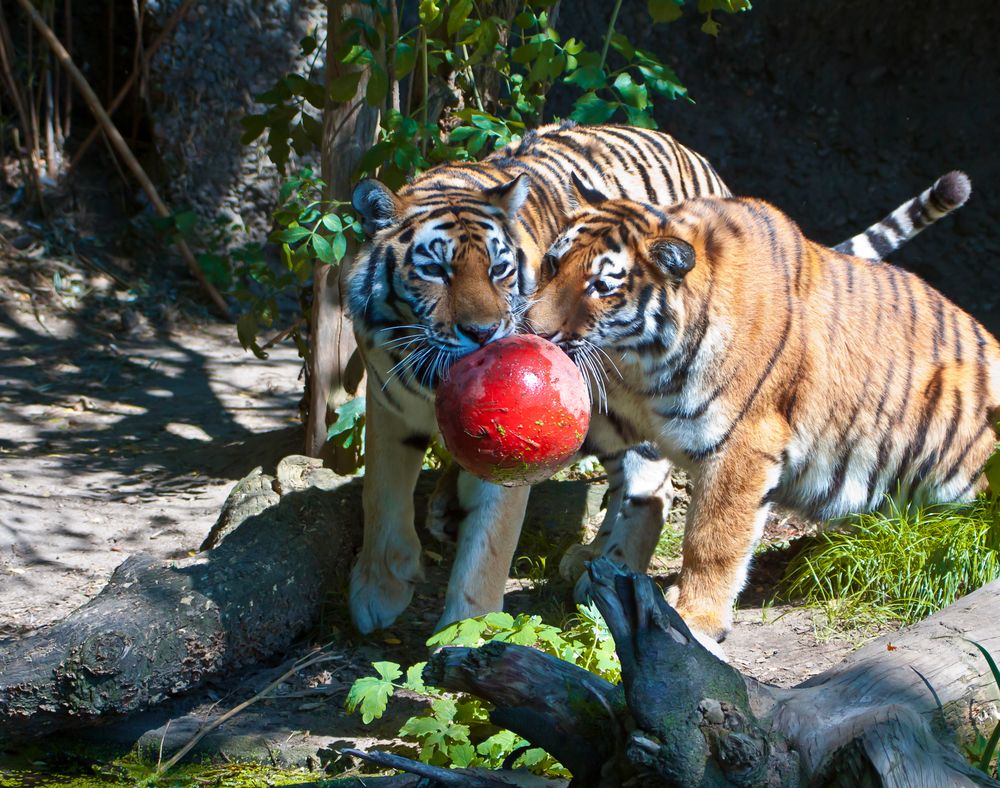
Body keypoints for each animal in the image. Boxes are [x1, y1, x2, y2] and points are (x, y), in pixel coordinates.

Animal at [524, 169, 992, 644]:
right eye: (553, 264)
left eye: (601, 287)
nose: (534, 330)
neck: (640, 362)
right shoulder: (616, 414)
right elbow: (629, 495)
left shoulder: (743, 445)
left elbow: (713, 538)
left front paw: (696, 617)